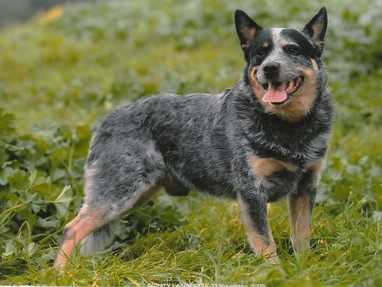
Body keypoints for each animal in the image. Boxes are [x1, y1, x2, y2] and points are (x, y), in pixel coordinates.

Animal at [53, 6, 332, 268]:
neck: (289, 127)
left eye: (292, 49)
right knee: (71, 229)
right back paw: (60, 273)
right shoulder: (252, 192)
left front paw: (303, 267)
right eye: (260, 53)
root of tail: (105, 121)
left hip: (134, 195)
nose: (270, 68)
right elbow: (266, 244)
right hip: (117, 193)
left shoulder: (306, 187)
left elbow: (301, 236)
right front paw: (276, 273)